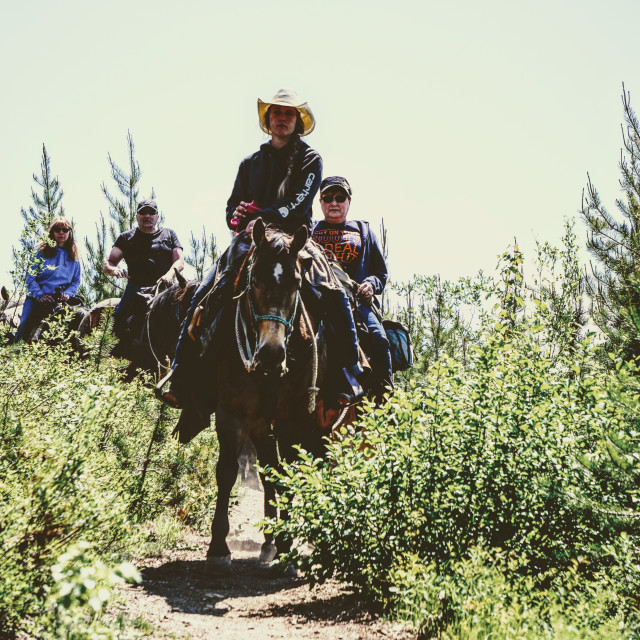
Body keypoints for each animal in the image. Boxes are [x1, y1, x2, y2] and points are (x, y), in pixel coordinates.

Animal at [202, 221, 340, 568]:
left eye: (297, 282)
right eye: (254, 280)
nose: (271, 354)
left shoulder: (293, 418)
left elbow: (291, 473)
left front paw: (288, 543)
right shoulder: (233, 413)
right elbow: (227, 472)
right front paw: (218, 547)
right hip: (262, 425)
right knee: (268, 472)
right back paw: (267, 541)